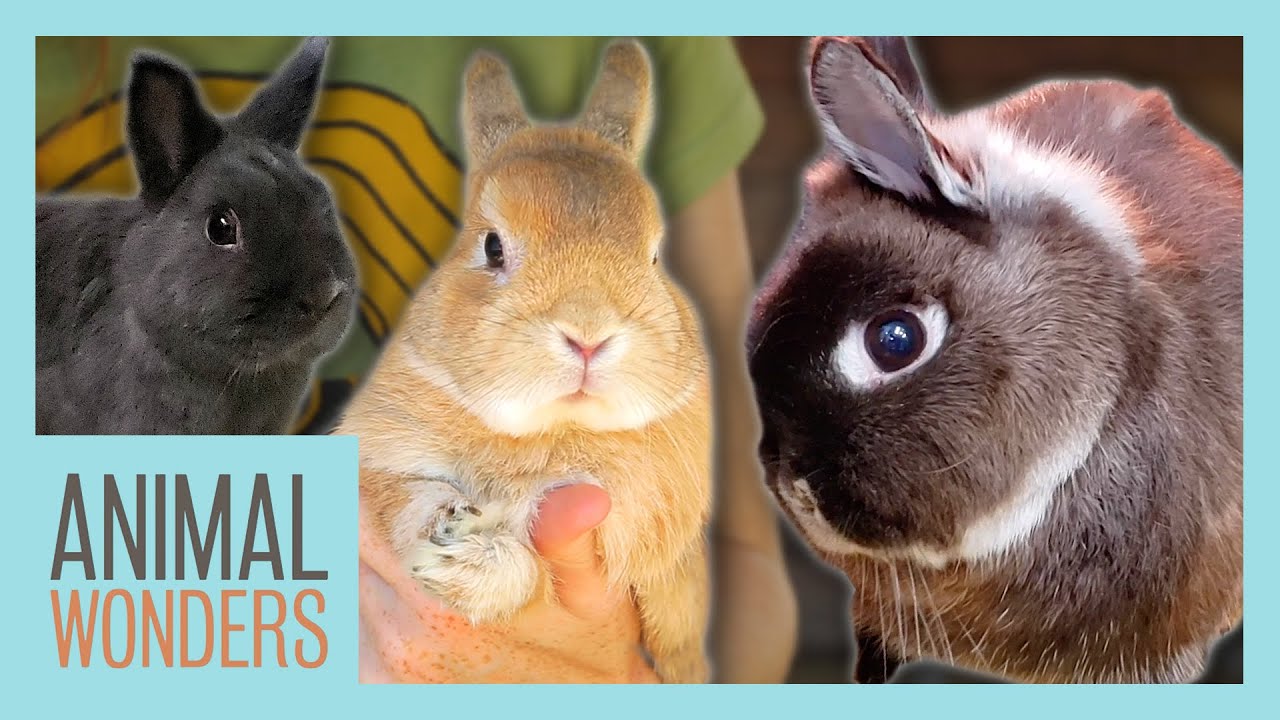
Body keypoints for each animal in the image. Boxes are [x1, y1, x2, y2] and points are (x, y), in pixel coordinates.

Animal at [340, 40, 714, 684]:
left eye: (654, 255)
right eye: (492, 246)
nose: (588, 334)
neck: (553, 429)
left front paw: (464, 566)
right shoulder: (380, 464)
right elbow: (411, 499)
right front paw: (451, 546)